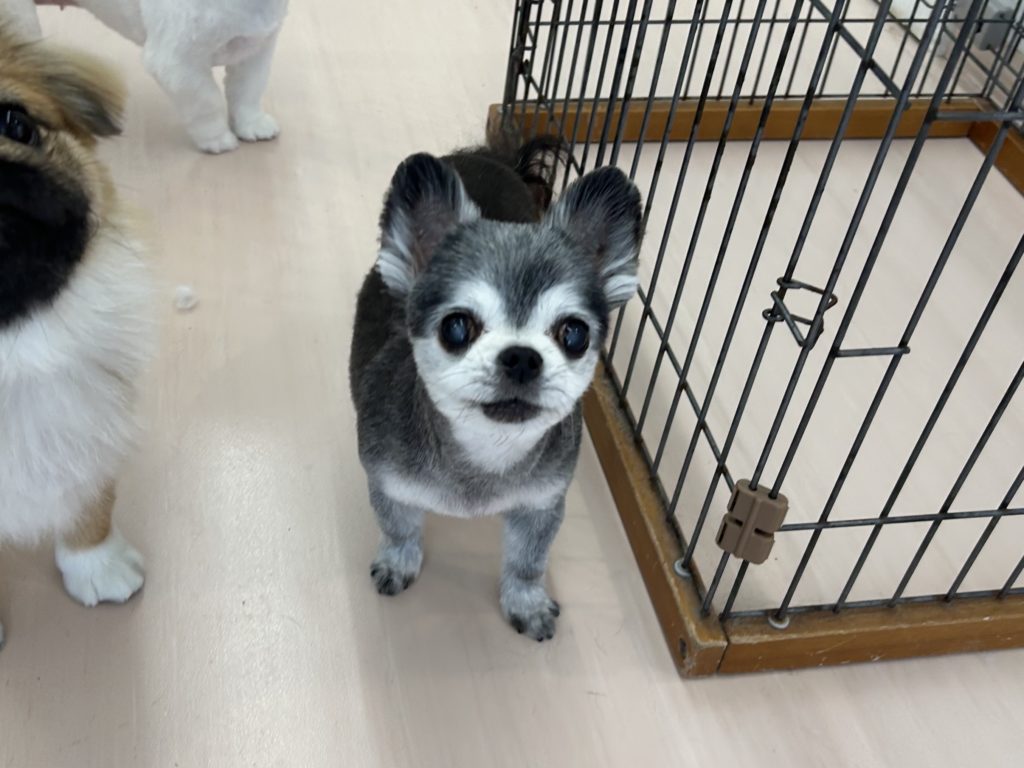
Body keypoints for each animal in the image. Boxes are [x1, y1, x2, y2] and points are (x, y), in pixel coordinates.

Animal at [2, 0, 288, 153]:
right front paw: (215, 138)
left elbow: (247, 92)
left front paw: (250, 124)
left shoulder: (255, 49)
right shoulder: (176, 63)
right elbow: (207, 102)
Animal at [349, 138, 643, 641]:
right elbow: (399, 529)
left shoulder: (542, 503)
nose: (522, 357)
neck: (484, 454)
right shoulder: (389, 483)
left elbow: (528, 561)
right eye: (456, 327)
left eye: (574, 334)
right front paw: (398, 563)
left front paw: (526, 603)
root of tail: (488, 154)